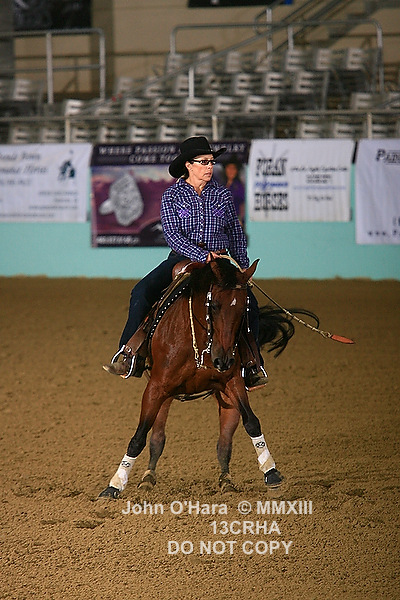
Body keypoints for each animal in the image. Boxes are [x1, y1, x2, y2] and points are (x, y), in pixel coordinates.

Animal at [99, 257, 308, 498]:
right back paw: (148, 478)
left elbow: (252, 423)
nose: (223, 360)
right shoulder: (156, 387)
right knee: (157, 438)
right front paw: (114, 485)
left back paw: (226, 480)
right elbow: (139, 437)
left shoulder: (233, 383)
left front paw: (271, 473)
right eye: (214, 305)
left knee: (224, 442)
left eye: (244, 309)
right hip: (164, 395)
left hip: (225, 399)